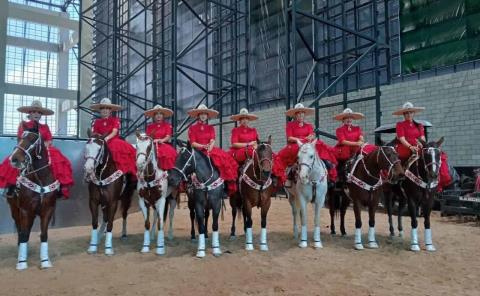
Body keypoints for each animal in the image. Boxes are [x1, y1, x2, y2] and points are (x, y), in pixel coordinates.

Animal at [6, 121, 58, 270]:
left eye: (32, 139)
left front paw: (45, 261)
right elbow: (23, 234)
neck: (40, 180)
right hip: (15, 210)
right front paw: (22, 263)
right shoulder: (25, 210)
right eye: (19, 138)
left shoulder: (47, 210)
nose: (14, 159)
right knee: (21, 230)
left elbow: (44, 234)